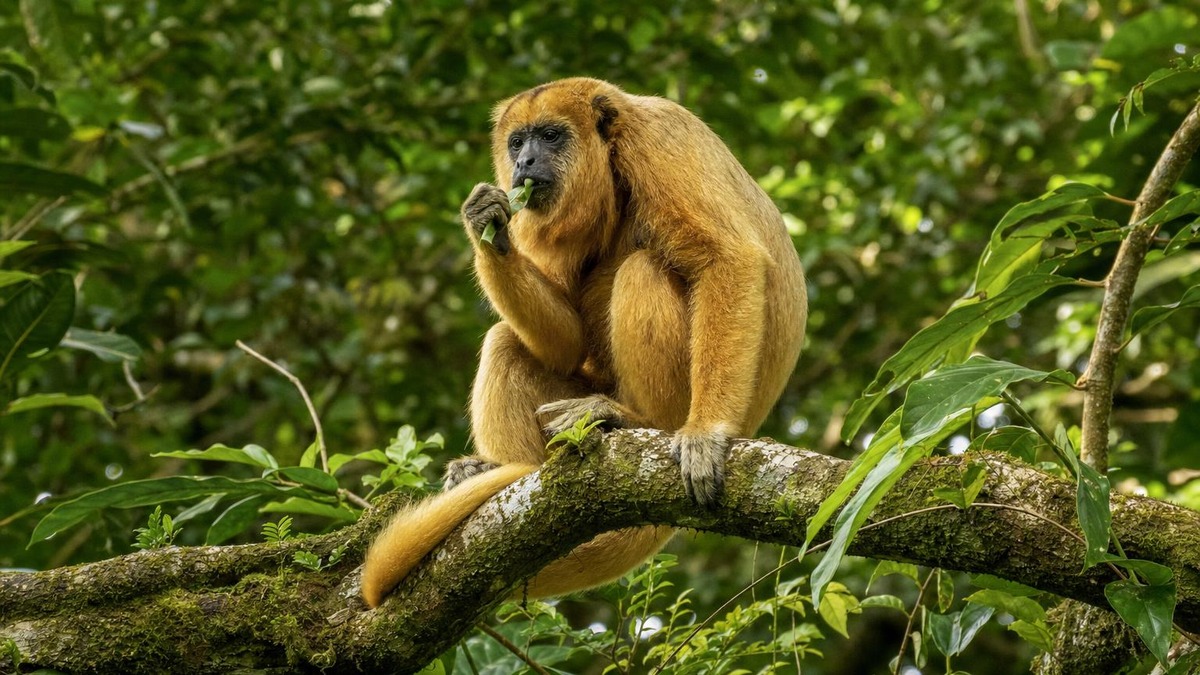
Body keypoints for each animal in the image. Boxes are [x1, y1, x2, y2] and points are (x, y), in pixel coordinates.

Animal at [361, 77, 807, 609]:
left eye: (551, 136)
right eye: (517, 142)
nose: (524, 162)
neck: (609, 162)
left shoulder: (659, 142)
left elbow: (728, 260)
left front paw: (706, 433)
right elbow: (567, 343)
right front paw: (485, 224)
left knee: (642, 271)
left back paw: (634, 420)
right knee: (505, 340)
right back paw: (500, 470)